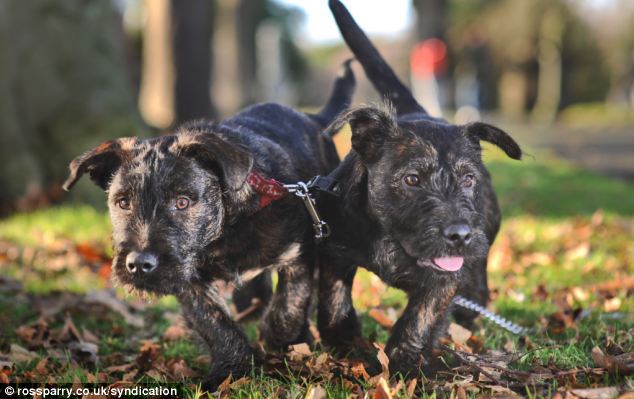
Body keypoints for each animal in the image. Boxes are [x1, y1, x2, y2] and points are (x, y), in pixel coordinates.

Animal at [64, 62, 356, 388]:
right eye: (123, 202)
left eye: (182, 202)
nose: (139, 265)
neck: (226, 231)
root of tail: (313, 118)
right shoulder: (190, 281)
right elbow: (215, 324)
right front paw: (229, 372)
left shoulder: (298, 254)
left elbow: (288, 307)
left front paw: (284, 344)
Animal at [314, 0, 520, 376]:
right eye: (412, 179)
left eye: (469, 179)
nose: (460, 235)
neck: (392, 241)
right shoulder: (334, 251)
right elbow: (333, 303)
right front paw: (345, 342)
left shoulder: (446, 277)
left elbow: (419, 318)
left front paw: (403, 365)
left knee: (474, 298)